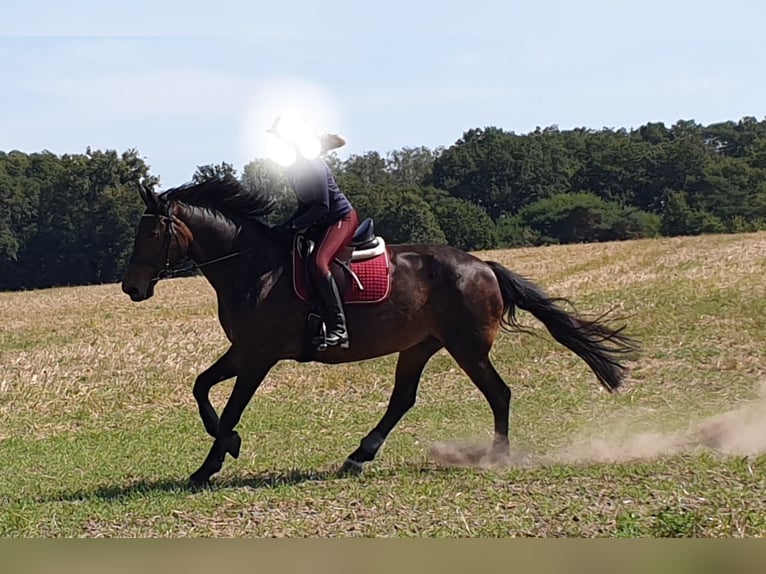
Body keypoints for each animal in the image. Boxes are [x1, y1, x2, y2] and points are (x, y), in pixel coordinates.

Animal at [121, 178, 640, 488]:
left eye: (151, 234)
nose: (132, 287)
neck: (252, 268)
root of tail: (484, 266)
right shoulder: (244, 350)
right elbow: (201, 387)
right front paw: (226, 447)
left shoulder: (260, 355)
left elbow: (229, 407)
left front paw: (209, 464)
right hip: (420, 346)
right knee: (403, 400)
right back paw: (359, 455)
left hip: (466, 347)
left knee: (499, 392)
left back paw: (497, 456)